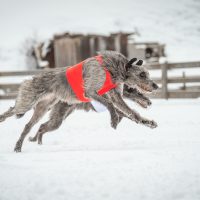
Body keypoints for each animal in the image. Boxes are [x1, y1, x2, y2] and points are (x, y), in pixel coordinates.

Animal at [0, 50, 158, 152]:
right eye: (142, 74)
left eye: (147, 73)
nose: (155, 86)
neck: (113, 68)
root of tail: (31, 78)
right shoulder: (91, 91)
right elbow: (110, 105)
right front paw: (114, 119)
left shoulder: (115, 95)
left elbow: (130, 112)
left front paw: (148, 122)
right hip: (28, 102)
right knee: (13, 110)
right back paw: (3, 120)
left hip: (44, 108)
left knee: (29, 125)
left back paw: (19, 145)